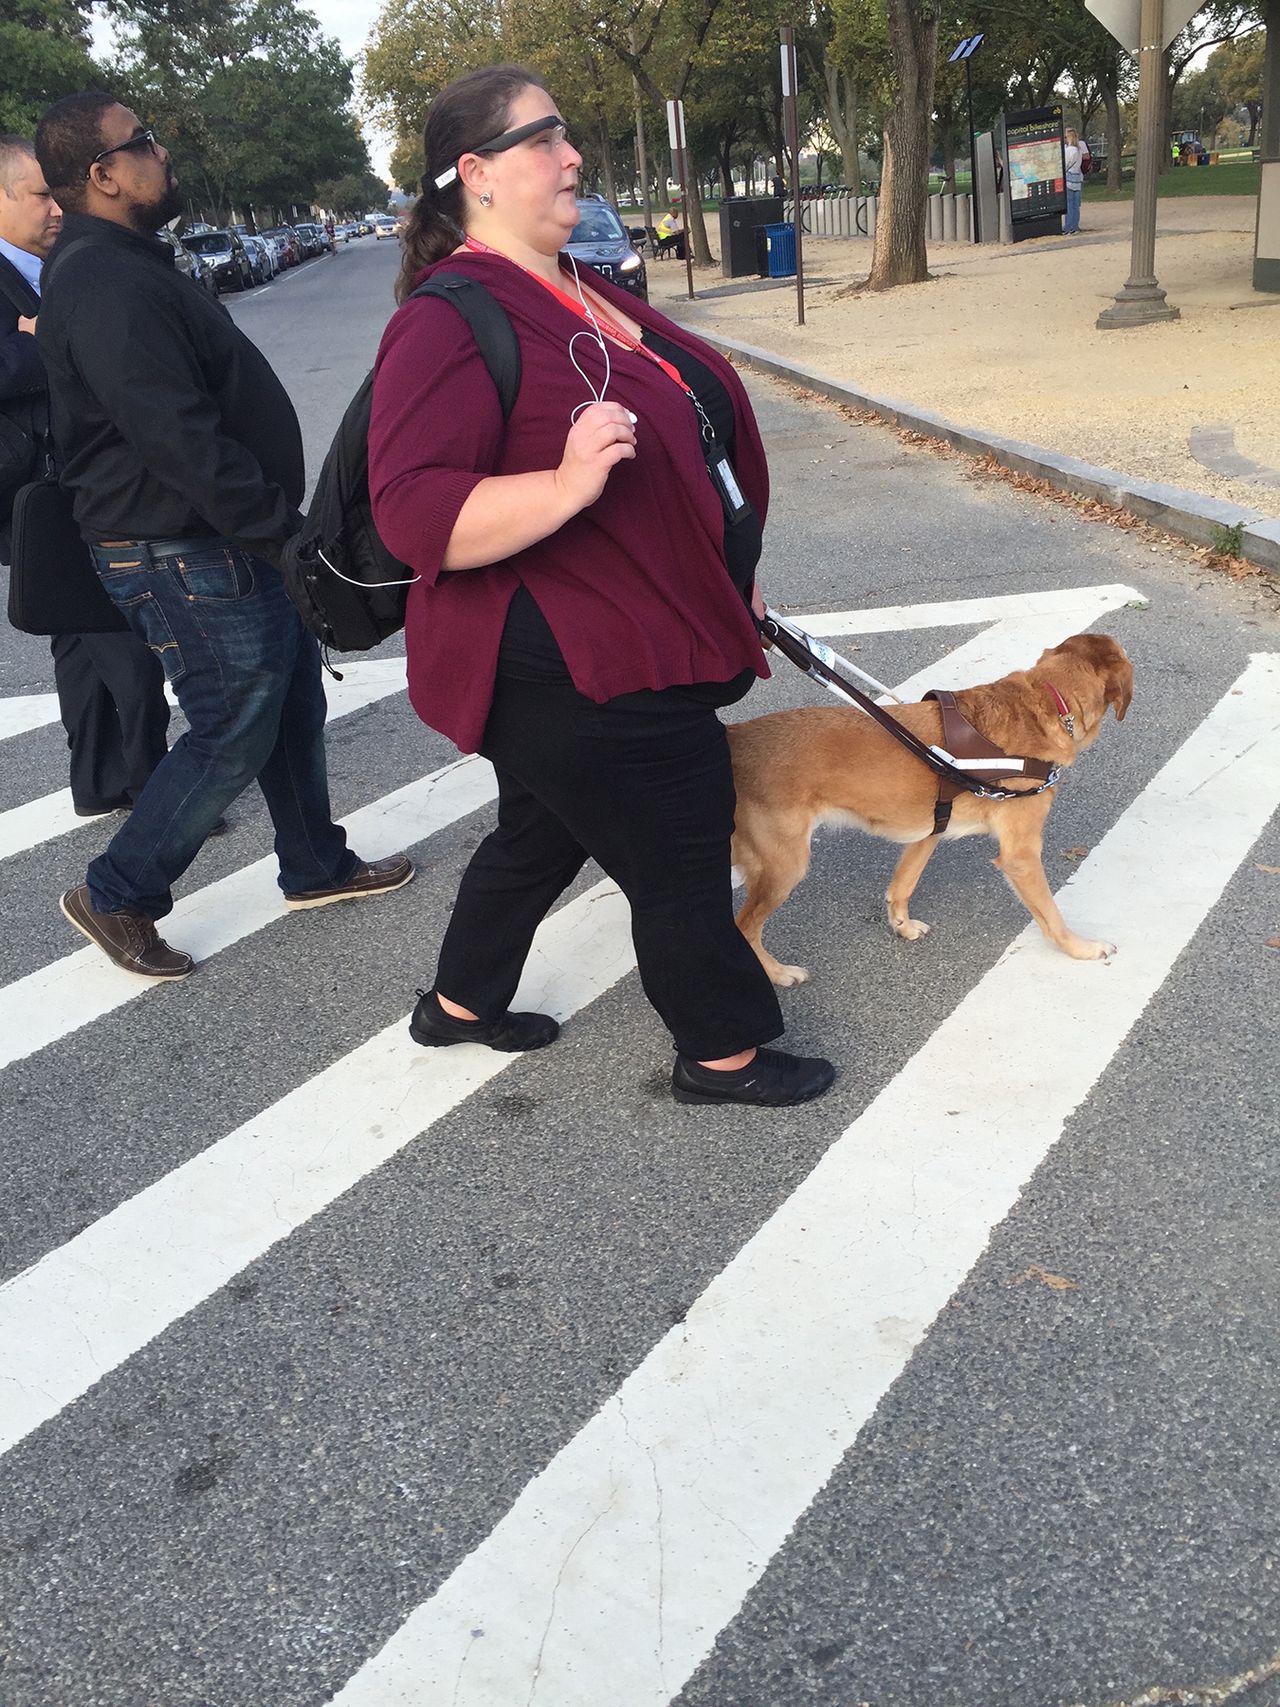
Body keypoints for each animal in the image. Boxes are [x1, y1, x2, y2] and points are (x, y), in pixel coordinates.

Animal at [727, 631, 1140, 990]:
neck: (1047, 702)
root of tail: (735, 736)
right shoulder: (1020, 857)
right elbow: (1051, 915)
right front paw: (1080, 948)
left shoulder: (930, 830)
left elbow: (903, 885)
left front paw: (902, 925)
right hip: (785, 867)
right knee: (744, 927)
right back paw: (778, 973)